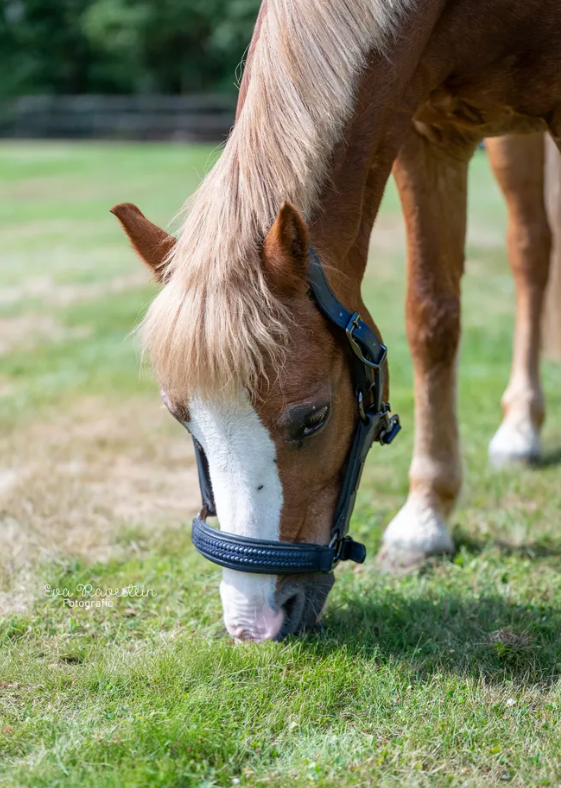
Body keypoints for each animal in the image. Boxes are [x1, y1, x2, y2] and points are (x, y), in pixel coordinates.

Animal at [112, 0, 561, 642]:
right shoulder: (427, 136)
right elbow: (432, 319)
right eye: (183, 420)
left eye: (314, 417)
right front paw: (427, 514)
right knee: (531, 251)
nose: (253, 624)